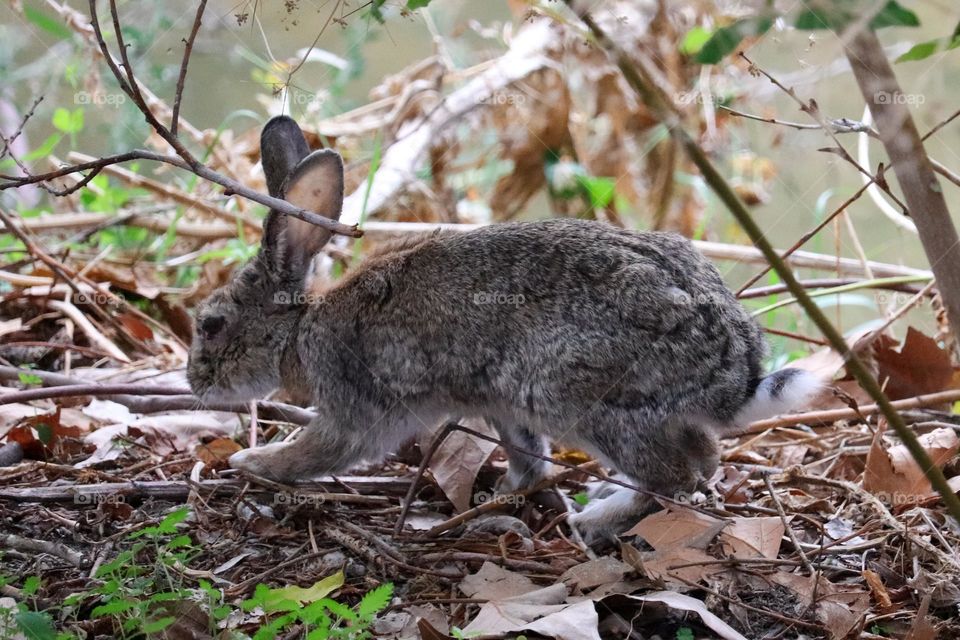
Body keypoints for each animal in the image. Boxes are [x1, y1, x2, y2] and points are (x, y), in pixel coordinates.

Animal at [188, 116, 816, 544]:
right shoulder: (500, 410)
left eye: (212, 324)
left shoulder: (354, 407)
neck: (300, 329)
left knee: (675, 477)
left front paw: (253, 465)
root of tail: (733, 370)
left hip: (584, 401)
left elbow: (320, 451)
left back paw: (596, 520)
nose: (195, 383)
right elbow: (529, 460)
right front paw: (507, 497)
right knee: (704, 459)